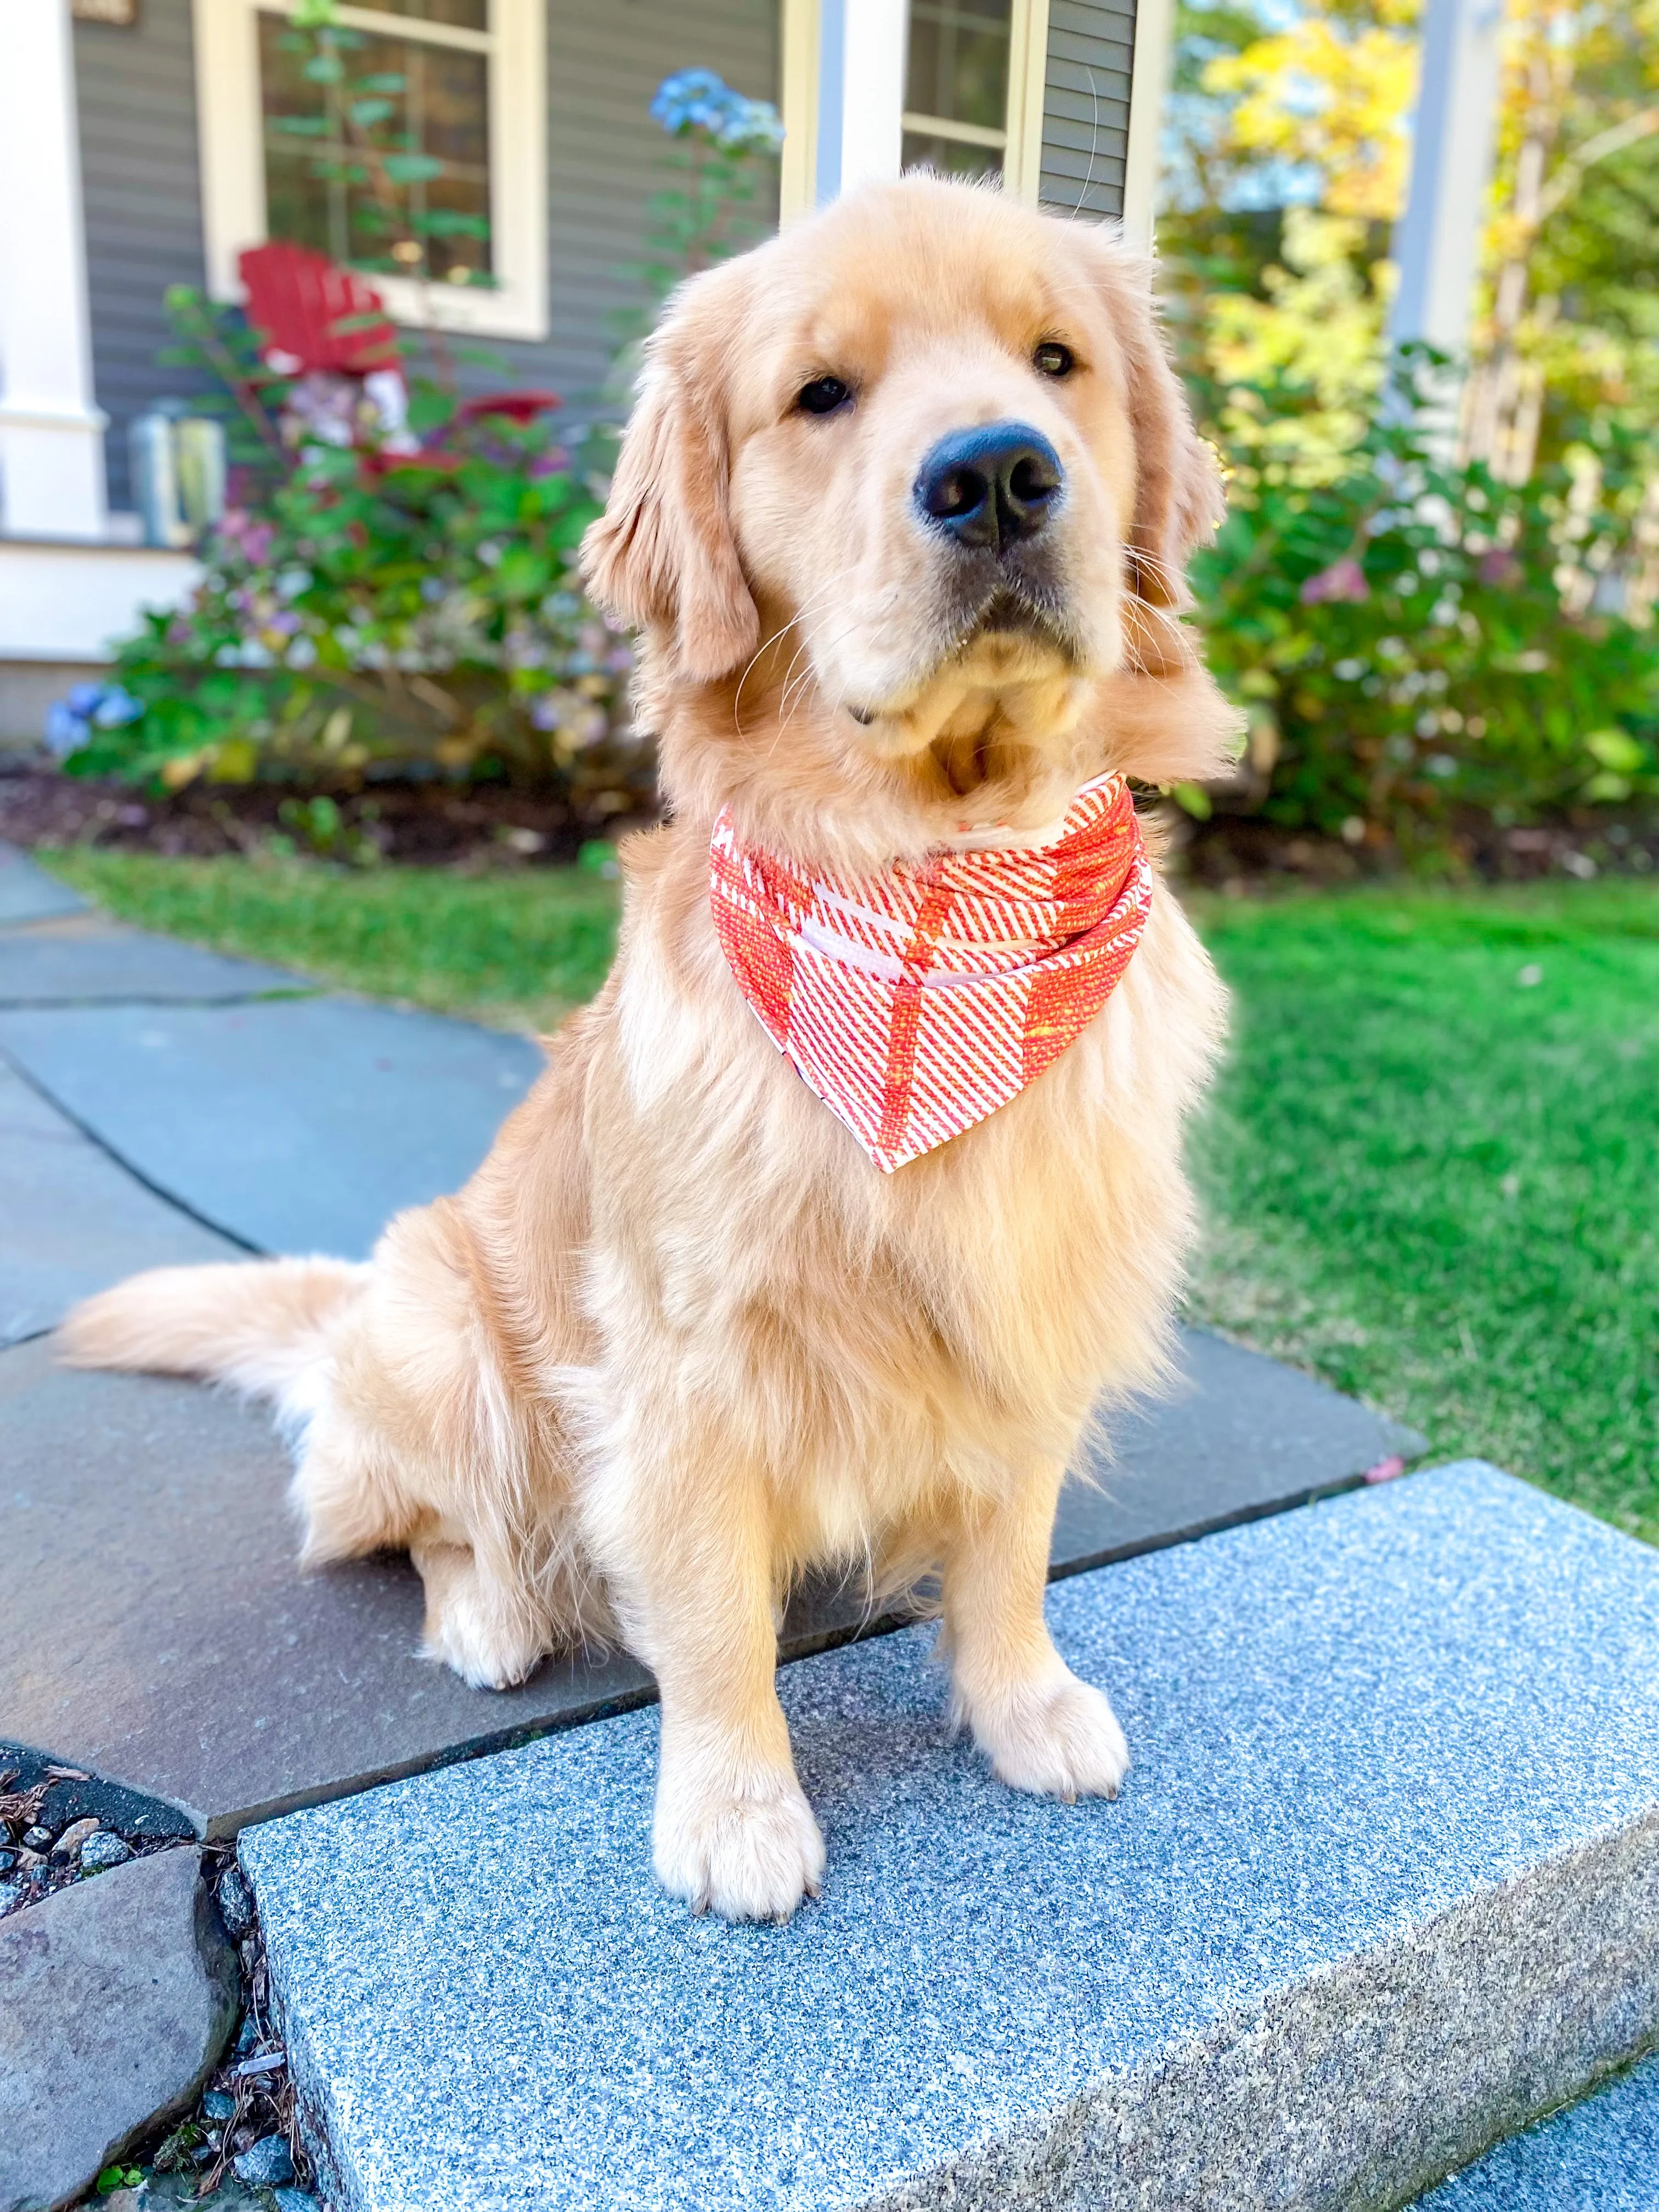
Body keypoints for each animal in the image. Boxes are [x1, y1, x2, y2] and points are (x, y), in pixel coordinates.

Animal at [61, 177, 1238, 1920]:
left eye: (1058, 361)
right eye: (819, 395)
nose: (1000, 475)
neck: (937, 882)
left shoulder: (1035, 1304)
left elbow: (1009, 1546)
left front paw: (1023, 1703)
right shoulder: (688, 1376)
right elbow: (712, 1624)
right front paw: (736, 1811)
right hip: (447, 1335)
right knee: (423, 1527)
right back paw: (491, 1613)